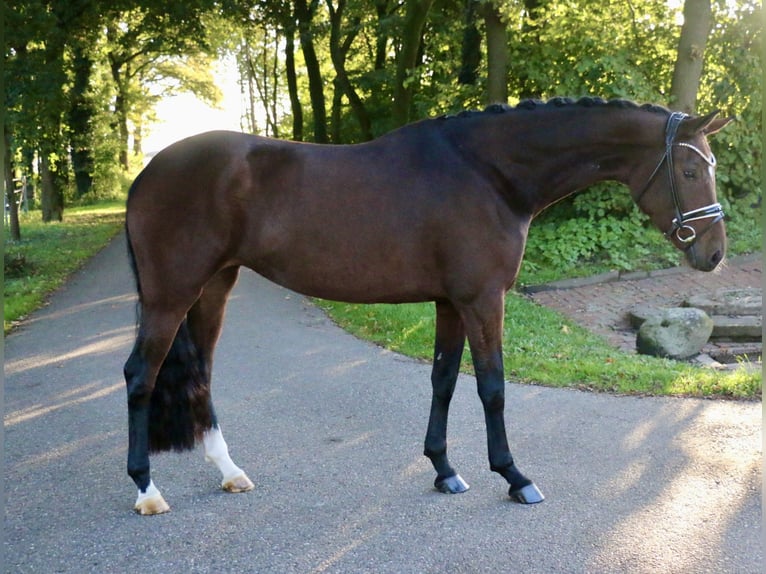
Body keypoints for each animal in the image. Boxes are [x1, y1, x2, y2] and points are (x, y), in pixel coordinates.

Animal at [124, 97, 732, 516]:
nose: (714, 253)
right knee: (140, 376)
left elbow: (443, 380)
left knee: (200, 374)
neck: (490, 173)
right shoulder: (482, 300)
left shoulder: (449, 301)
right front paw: (514, 476)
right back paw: (147, 489)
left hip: (214, 288)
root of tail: (147, 173)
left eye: (710, 167)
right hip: (170, 295)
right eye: (689, 171)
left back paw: (228, 471)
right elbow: (492, 386)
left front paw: (444, 470)